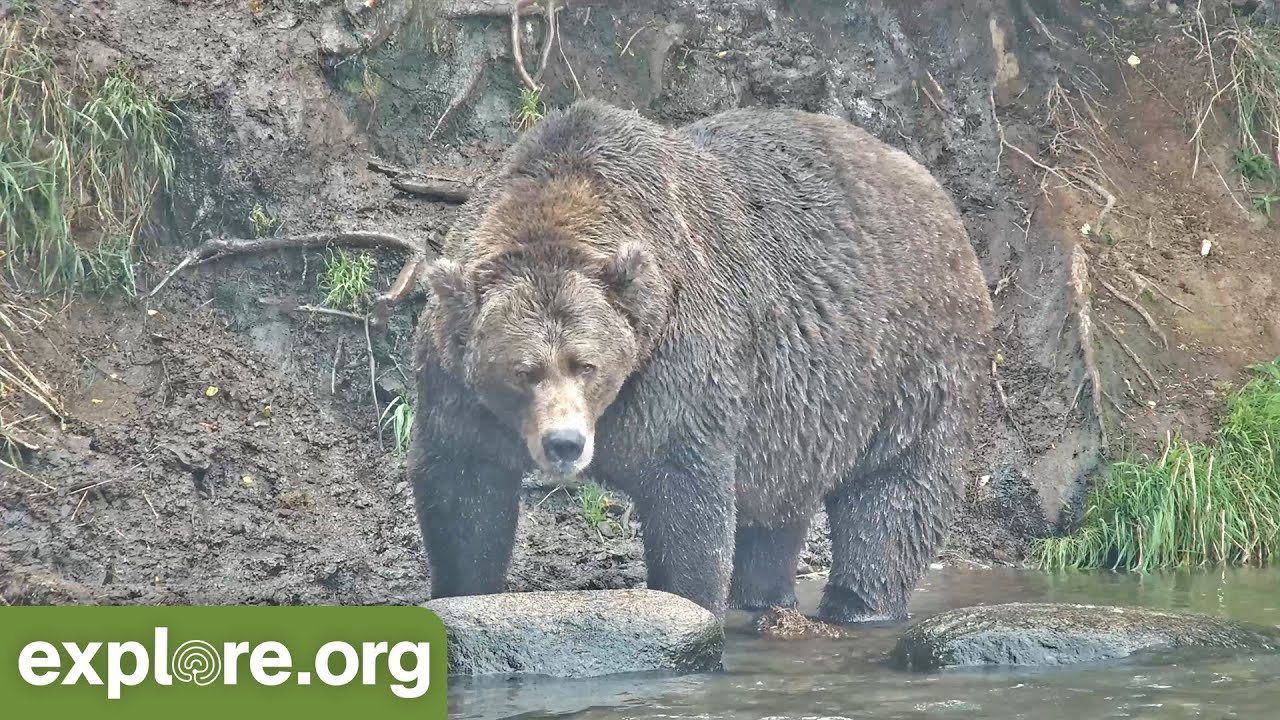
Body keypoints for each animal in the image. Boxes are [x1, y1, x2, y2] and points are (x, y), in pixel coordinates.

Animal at [408, 98, 994, 623]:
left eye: (585, 364)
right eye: (523, 372)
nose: (564, 443)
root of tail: (932, 188)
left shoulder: (678, 362)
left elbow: (687, 497)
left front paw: (687, 602)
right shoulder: (456, 380)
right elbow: (465, 492)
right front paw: (461, 591)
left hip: (908, 359)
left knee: (894, 488)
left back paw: (858, 604)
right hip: (800, 410)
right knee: (777, 504)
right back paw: (761, 597)